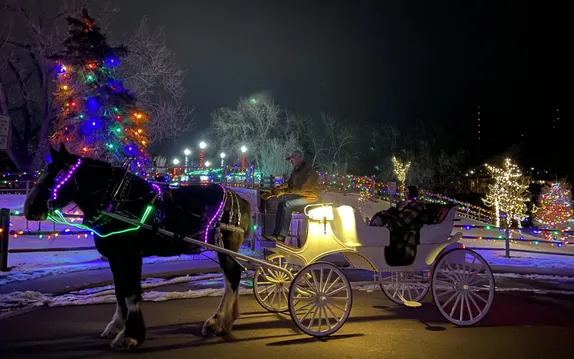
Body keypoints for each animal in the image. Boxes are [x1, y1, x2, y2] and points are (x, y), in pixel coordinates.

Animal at [23, 144, 252, 352]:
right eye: (44, 171)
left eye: (59, 175)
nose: (30, 208)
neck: (117, 199)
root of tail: (239, 197)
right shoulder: (115, 257)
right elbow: (119, 290)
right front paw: (117, 326)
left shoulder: (130, 255)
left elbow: (131, 292)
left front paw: (130, 336)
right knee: (231, 278)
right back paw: (226, 320)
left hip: (225, 248)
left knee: (232, 277)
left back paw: (218, 321)